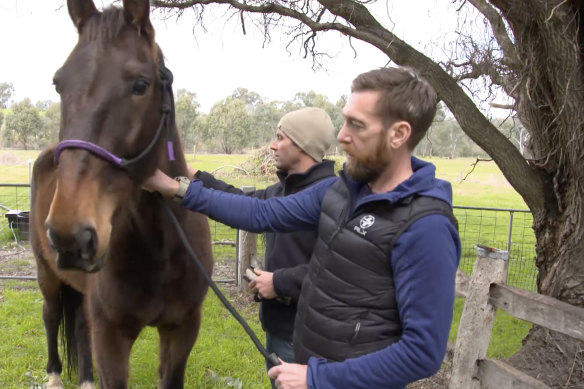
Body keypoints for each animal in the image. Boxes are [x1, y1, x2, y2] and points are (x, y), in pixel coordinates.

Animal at [28, 0, 213, 388]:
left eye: (141, 85)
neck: (159, 246)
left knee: (79, 325)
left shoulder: (182, 330)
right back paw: (53, 376)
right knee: (51, 316)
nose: (70, 234)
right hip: (46, 273)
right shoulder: (111, 337)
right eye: (58, 84)